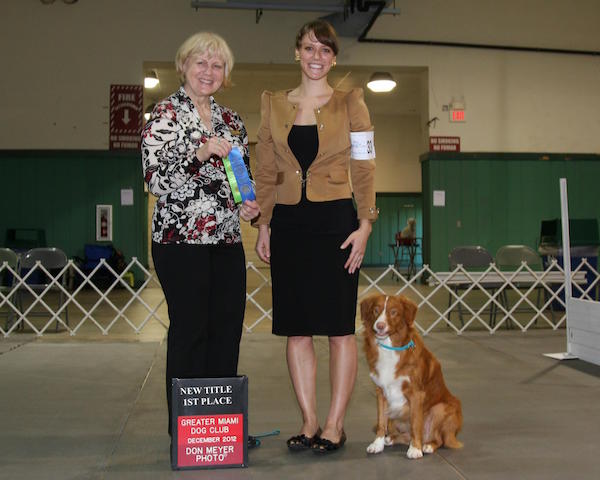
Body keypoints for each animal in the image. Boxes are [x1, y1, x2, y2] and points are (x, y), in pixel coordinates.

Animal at [360, 292, 464, 458]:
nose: (380, 325)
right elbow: (381, 421)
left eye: (394, 312)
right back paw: (390, 439)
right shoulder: (381, 392)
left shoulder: (416, 393)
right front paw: (377, 444)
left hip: (441, 408)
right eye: (376, 310)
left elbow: (416, 423)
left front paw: (415, 449)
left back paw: (427, 445)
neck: (390, 348)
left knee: (439, 439)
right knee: (403, 435)